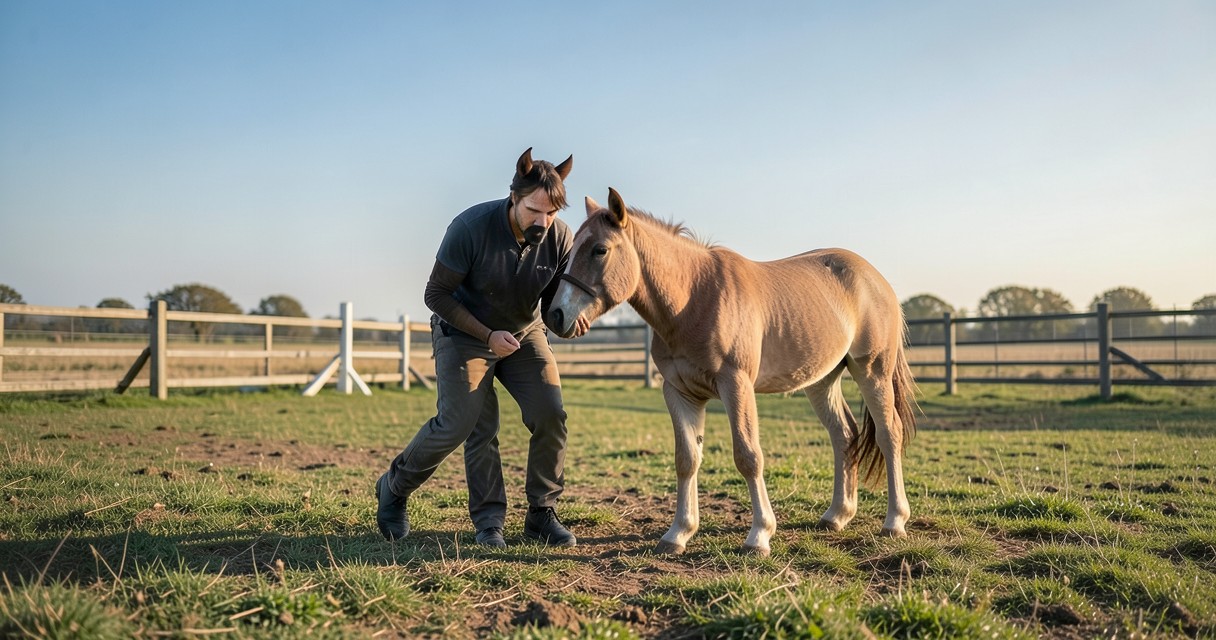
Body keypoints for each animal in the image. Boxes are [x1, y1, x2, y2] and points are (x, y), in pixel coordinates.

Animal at [548, 188, 917, 556]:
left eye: (600, 249)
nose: (555, 315)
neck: (694, 299)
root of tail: (877, 279)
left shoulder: (736, 386)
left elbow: (748, 456)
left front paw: (759, 535)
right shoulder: (679, 392)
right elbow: (687, 459)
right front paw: (678, 533)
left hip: (873, 372)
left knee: (889, 434)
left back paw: (895, 521)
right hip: (822, 380)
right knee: (843, 435)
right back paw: (837, 515)